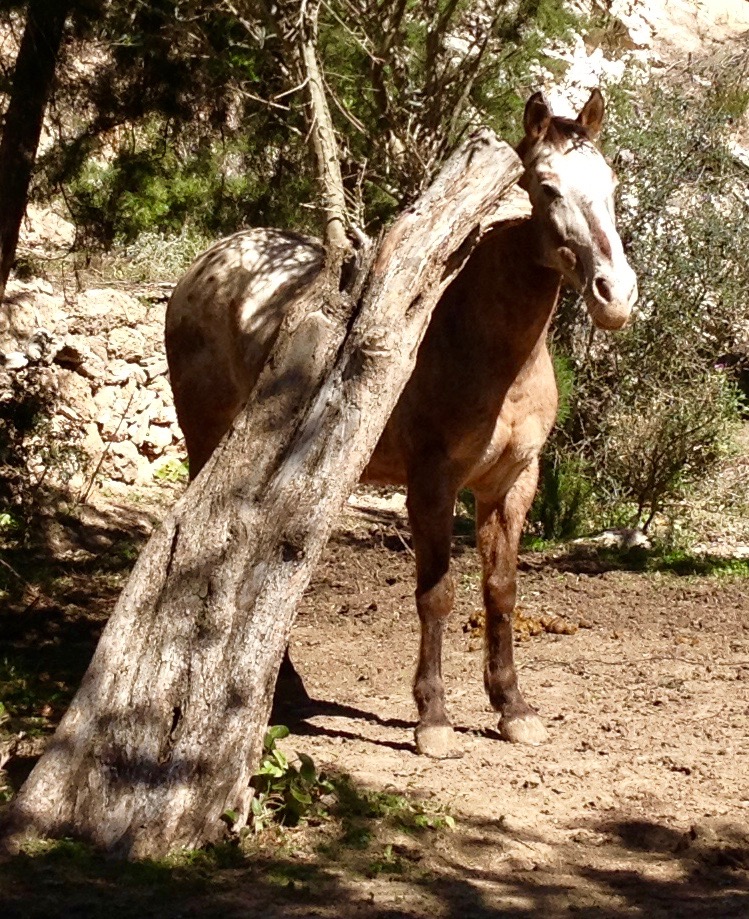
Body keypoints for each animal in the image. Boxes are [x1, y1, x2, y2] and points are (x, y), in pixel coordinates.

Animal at [165, 89, 637, 758]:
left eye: (611, 184)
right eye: (546, 187)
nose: (615, 294)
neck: (481, 340)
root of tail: (208, 263)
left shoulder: (512, 483)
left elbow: (501, 590)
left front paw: (513, 709)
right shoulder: (431, 483)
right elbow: (436, 595)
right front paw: (433, 720)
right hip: (208, 443)